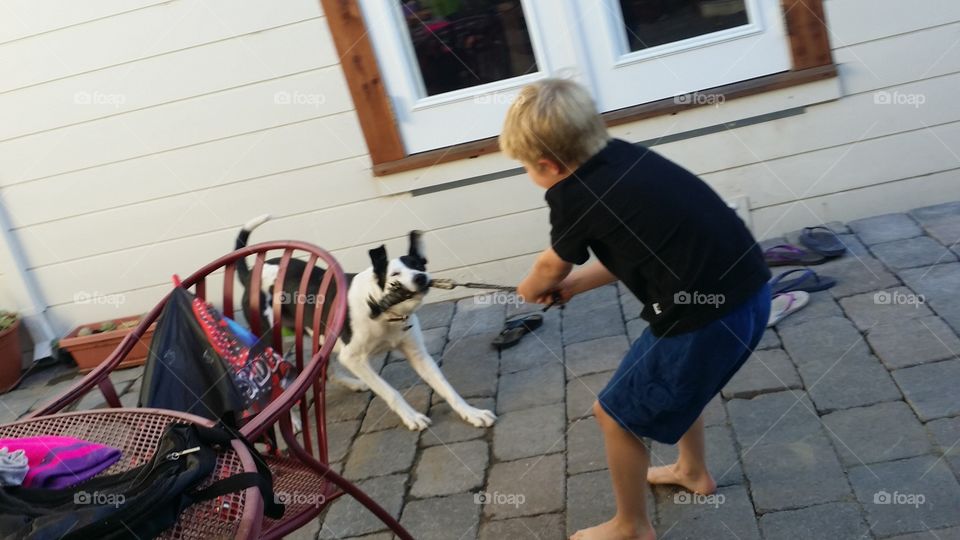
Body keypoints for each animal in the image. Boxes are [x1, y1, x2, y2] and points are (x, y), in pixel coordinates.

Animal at [236, 215, 498, 430]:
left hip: (321, 336)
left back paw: (353, 383)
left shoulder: (419, 356)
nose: (421, 278)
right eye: (394, 275)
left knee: (327, 372)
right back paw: (292, 420)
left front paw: (472, 413)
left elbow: (447, 388)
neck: (385, 310)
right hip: (272, 343)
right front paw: (411, 417)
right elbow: (390, 392)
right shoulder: (353, 358)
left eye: (418, 265)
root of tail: (250, 274)